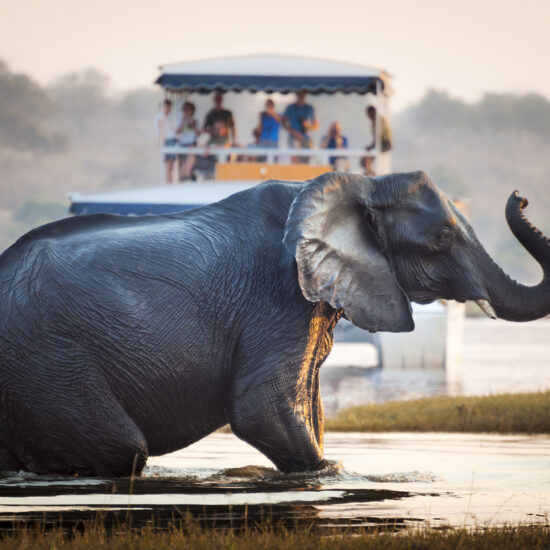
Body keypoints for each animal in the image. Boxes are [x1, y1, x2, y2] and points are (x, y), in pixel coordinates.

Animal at [0, 172, 548, 478]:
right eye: (440, 240)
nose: (521, 197)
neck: (357, 185)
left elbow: (309, 407)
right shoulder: (278, 297)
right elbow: (260, 410)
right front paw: (332, 474)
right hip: (48, 361)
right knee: (123, 450)